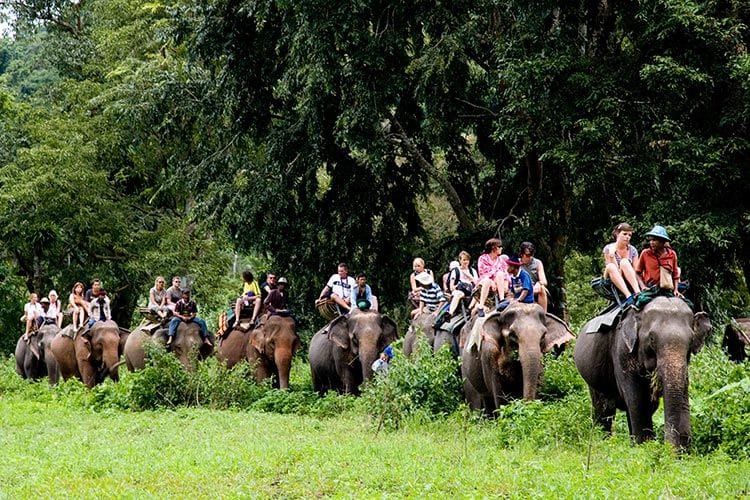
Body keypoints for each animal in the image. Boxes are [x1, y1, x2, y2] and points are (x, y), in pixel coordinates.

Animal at [576, 296, 712, 450]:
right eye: (652, 339)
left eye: (691, 340)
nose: (676, 449)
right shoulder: (622, 351)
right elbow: (637, 399)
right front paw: (645, 447)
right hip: (593, 377)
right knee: (604, 409)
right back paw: (603, 441)